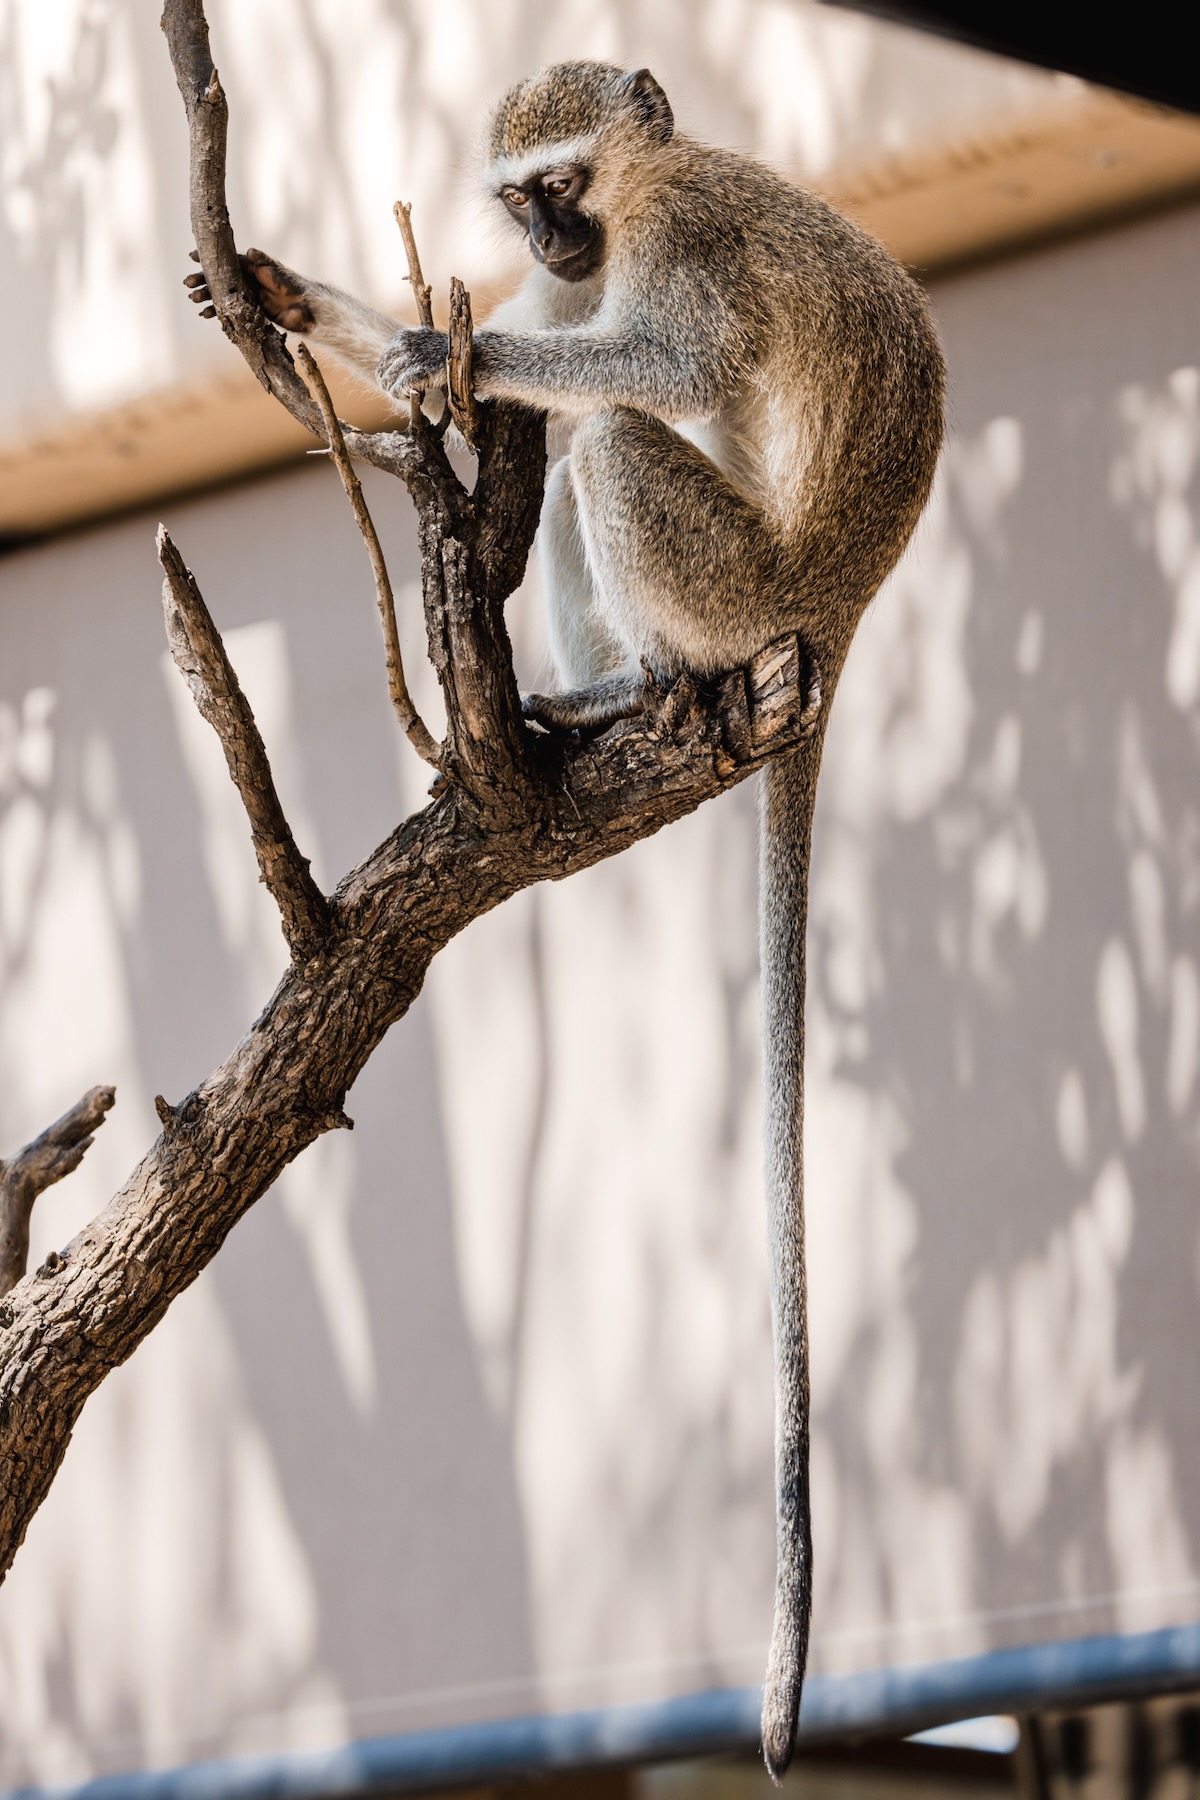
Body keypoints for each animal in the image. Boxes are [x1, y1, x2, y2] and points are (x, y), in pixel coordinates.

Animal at [188, 52, 942, 1771]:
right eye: (514, 196)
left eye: (561, 183)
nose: (538, 237)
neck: (646, 186)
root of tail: (845, 601)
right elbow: (559, 364)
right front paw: (297, 292)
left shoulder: (672, 239)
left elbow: (660, 361)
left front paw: (429, 351)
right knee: (592, 431)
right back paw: (606, 701)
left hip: (741, 583)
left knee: (607, 438)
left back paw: (623, 687)